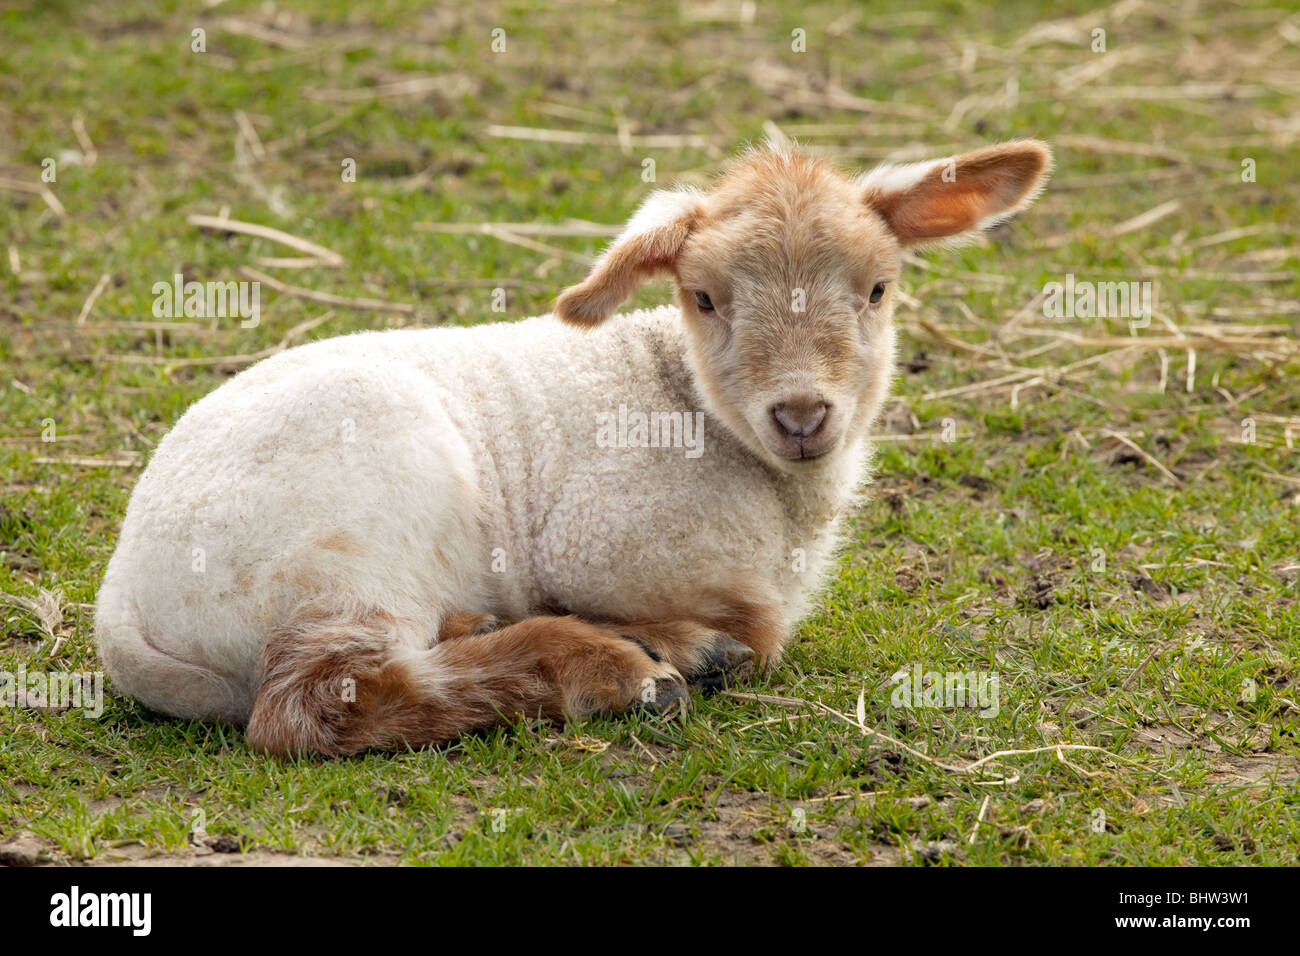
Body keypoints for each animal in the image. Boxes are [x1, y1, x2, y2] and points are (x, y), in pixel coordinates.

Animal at [94, 140, 1052, 756]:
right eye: (705, 298)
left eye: (878, 289)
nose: (802, 415)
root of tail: (121, 603)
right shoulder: (596, 546)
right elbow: (759, 628)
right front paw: (686, 643)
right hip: (348, 546)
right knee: (318, 708)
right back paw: (619, 669)